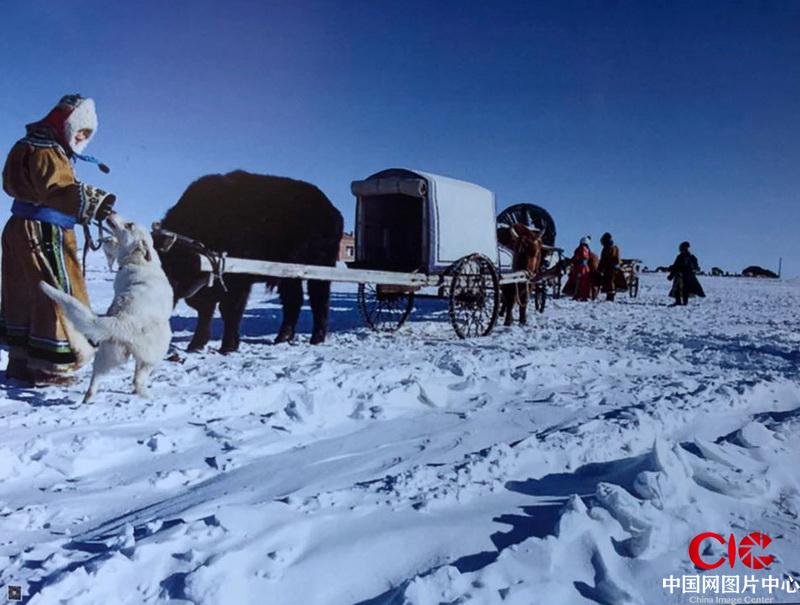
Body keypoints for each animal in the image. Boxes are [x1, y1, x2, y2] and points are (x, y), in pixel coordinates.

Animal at [41, 214, 173, 402]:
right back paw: (148, 397)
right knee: (138, 381)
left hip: (107, 354)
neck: (139, 262)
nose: (110, 213)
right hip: (152, 356)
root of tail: (122, 322)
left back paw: (87, 400)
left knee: (96, 381)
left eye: (129, 225)